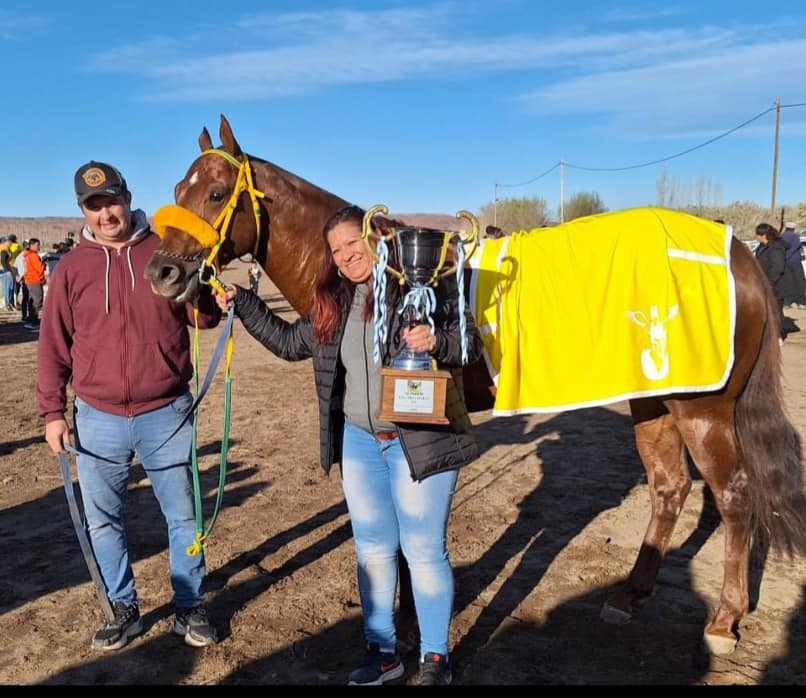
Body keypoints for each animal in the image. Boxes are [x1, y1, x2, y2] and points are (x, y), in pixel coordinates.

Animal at [145, 113, 806, 652]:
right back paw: (628, 597)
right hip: (655, 401)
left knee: (734, 494)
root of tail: (736, 254)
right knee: (669, 487)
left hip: (704, 410)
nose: (162, 272)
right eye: (175, 192)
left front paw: (410, 626)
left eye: (213, 191)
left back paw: (724, 619)